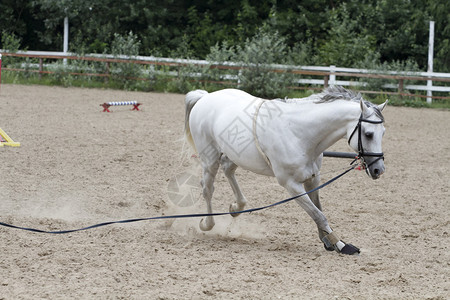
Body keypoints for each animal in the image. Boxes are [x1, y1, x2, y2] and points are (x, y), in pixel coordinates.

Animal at [183, 85, 386, 254]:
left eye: (383, 132)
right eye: (368, 134)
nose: (379, 170)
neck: (300, 134)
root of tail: (205, 97)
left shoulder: (313, 179)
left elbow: (318, 210)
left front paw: (328, 240)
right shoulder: (292, 185)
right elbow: (318, 214)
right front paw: (340, 245)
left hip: (235, 155)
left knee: (228, 170)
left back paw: (236, 207)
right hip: (210, 159)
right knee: (207, 188)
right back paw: (207, 223)